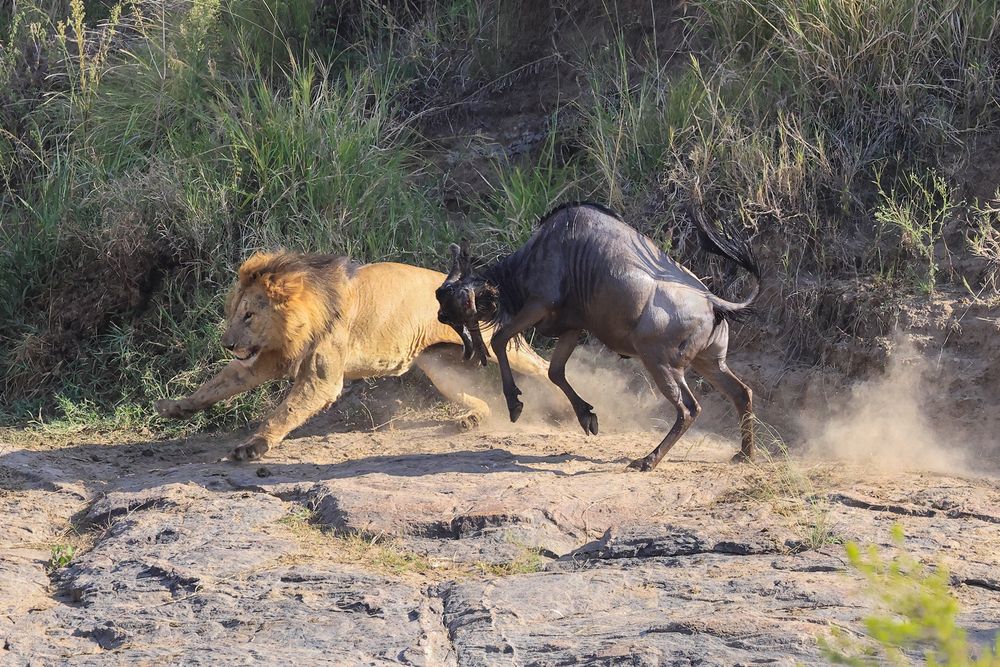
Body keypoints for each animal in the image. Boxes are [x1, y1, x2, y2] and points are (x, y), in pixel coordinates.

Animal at [154, 251, 552, 460]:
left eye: (248, 315)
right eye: (233, 312)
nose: (227, 343)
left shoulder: (321, 378)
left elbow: (284, 412)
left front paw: (254, 446)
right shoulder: (267, 359)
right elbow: (216, 385)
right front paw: (174, 407)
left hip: (501, 345)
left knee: (543, 367)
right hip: (440, 368)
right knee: (479, 399)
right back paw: (470, 420)